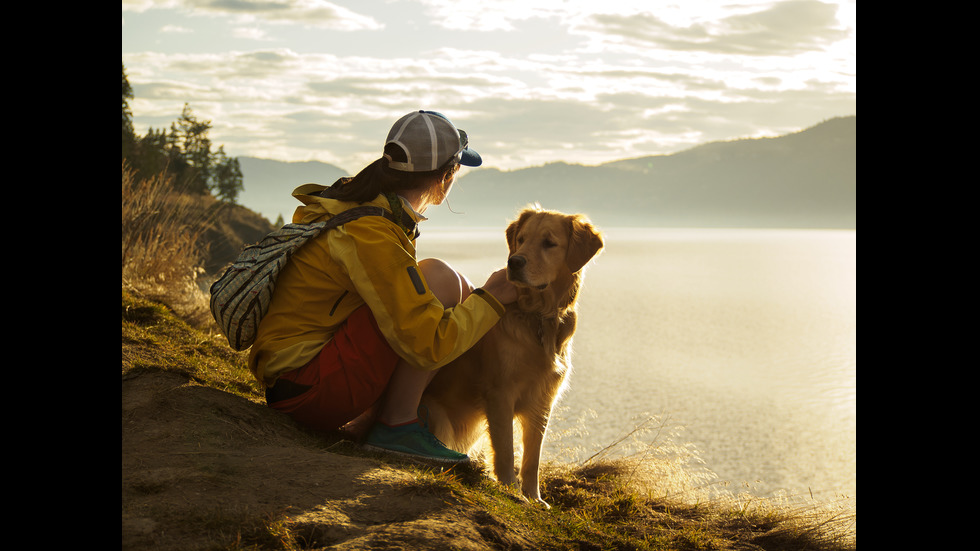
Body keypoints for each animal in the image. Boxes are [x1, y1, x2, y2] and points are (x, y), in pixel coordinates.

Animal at [424, 208, 604, 508]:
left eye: (549, 243)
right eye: (521, 239)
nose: (514, 262)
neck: (539, 317)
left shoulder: (542, 400)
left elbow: (533, 457)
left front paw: (534, 497)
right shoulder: (500, 393)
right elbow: (506, 449)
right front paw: (509, 489)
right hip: (439, 418)